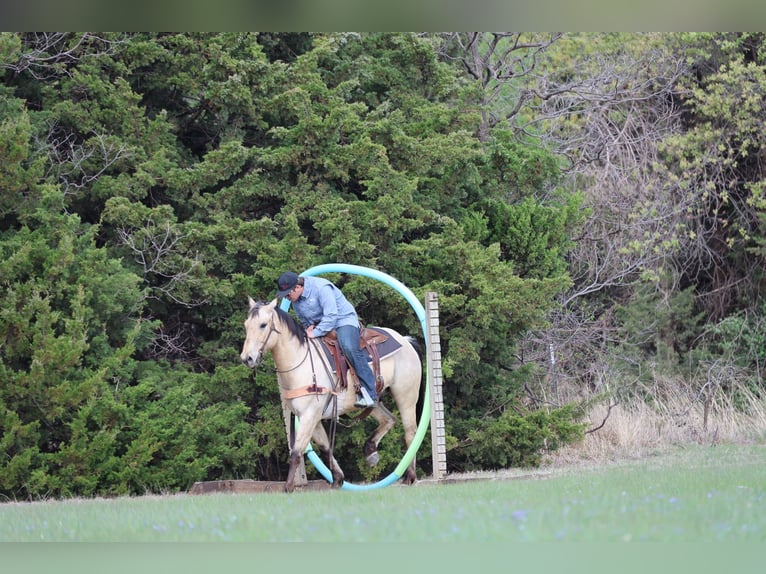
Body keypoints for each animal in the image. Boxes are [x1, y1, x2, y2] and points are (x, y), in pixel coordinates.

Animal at [240, 297, 422, 492]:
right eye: (246, 325)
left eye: (263, 325)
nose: (247, 358)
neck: (300, 361)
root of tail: (405, 340)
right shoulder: (310, 417)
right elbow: (325, 447)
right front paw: (337, 479)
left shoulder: (309, 415)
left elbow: (297, 452)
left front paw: (288, 487)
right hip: (374, 403)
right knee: (389, 420)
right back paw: (371, 452)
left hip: (406, 397)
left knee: (410, 432)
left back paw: (410, 476)